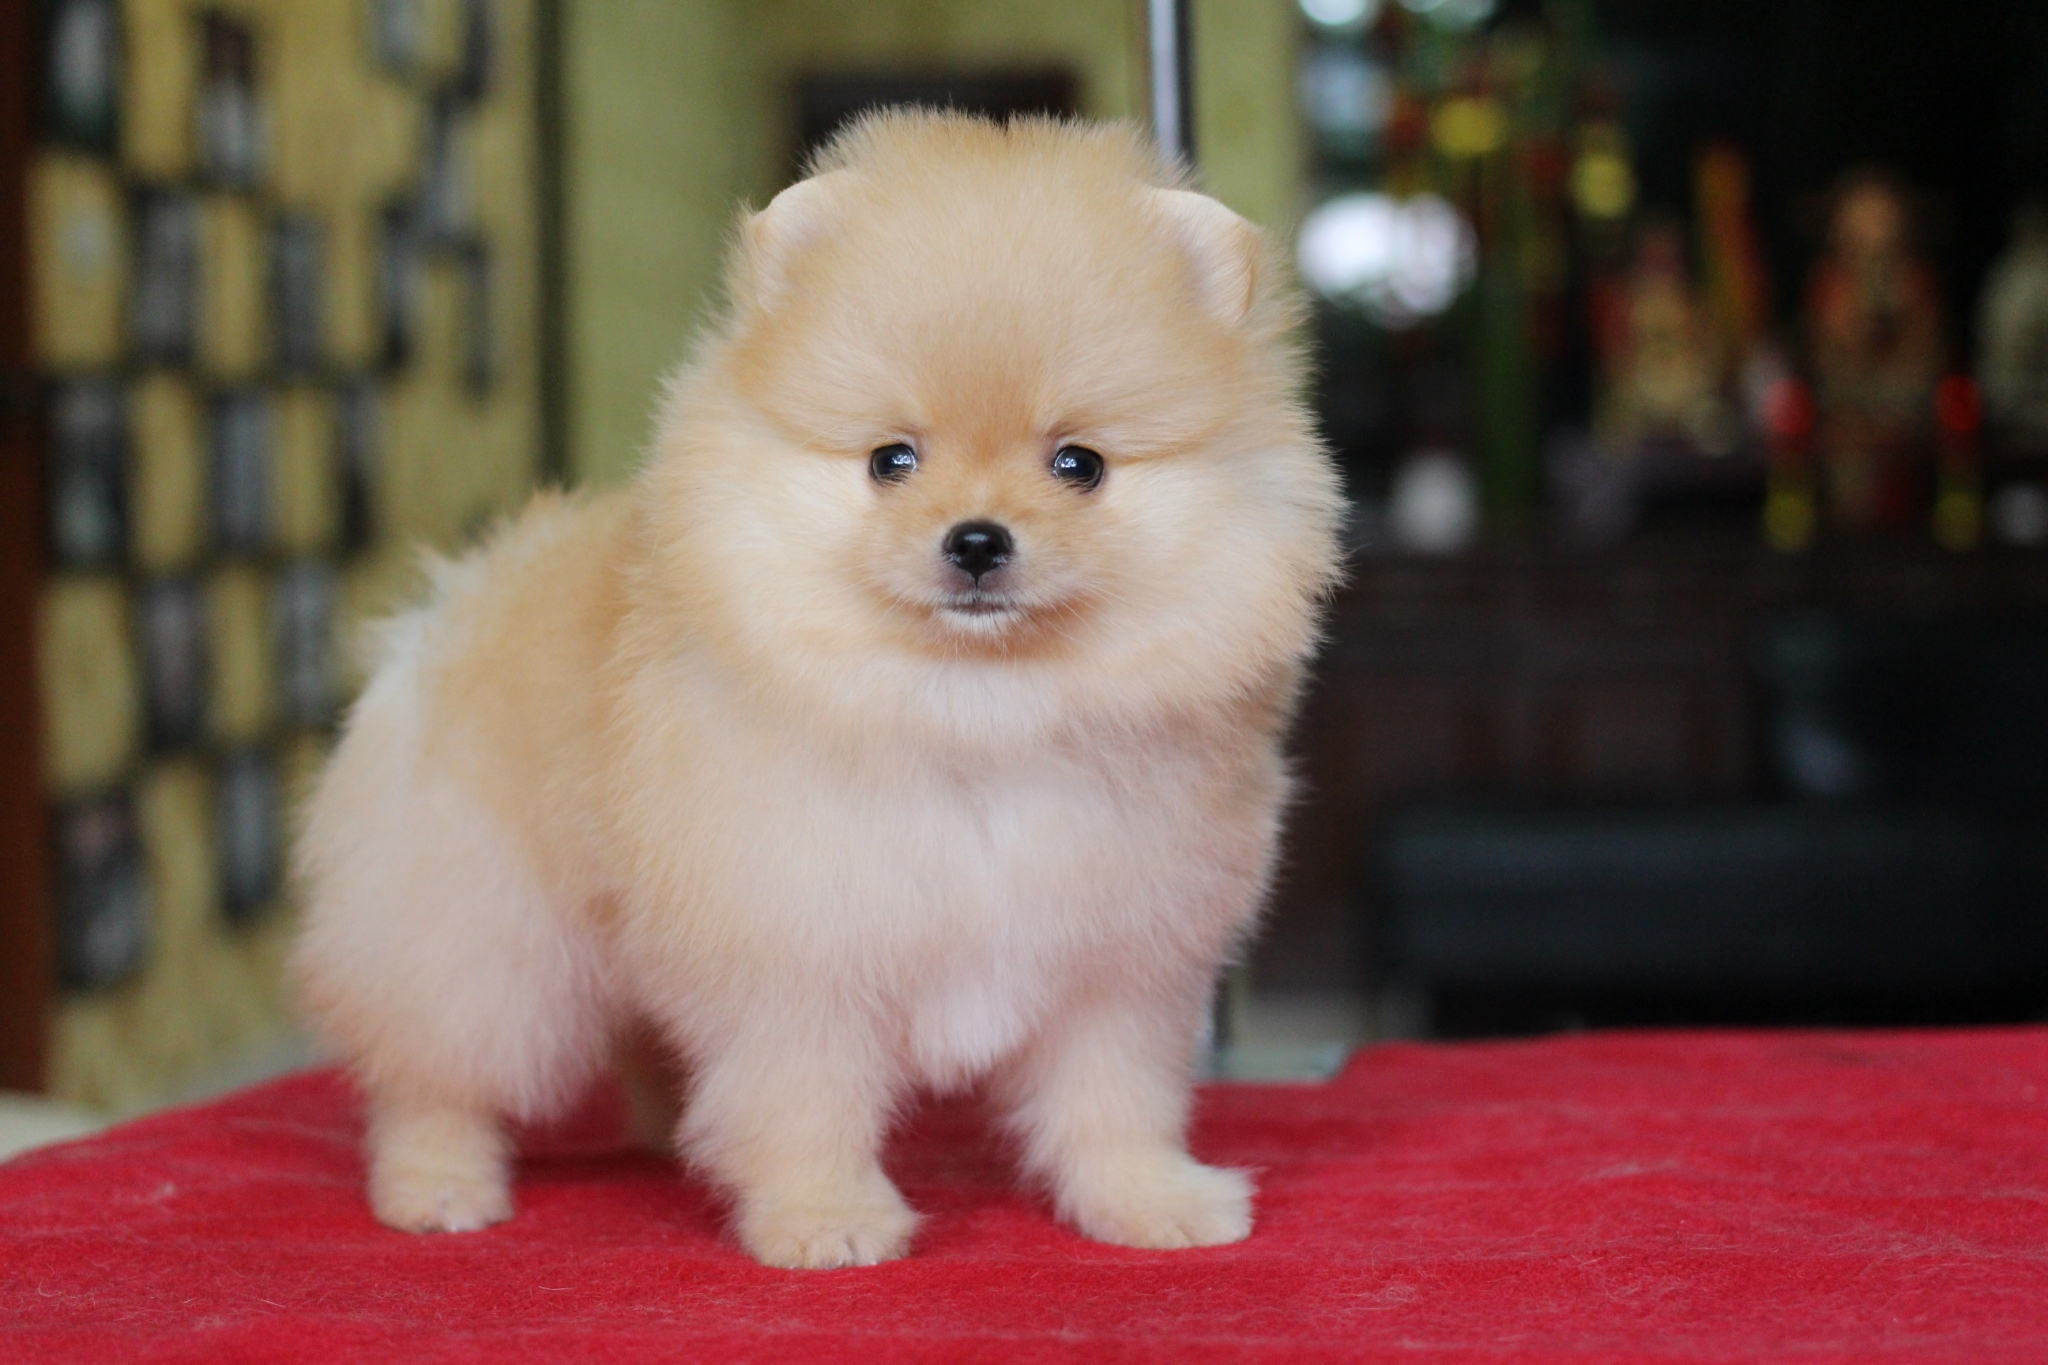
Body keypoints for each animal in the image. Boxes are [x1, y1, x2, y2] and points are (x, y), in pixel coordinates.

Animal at [291, 111, 1344, 1269]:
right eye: (891, 459)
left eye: (1080, 464)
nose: (977, 540)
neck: (976, 711)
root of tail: (462, 596)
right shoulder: (795, 957)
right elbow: (806, 1102)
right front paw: (824, 1218)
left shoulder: (1116, 967)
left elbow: (1115, 1102)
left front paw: (1149, 1200)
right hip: (485, 934)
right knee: (434, 1070)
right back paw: (436, 1185)